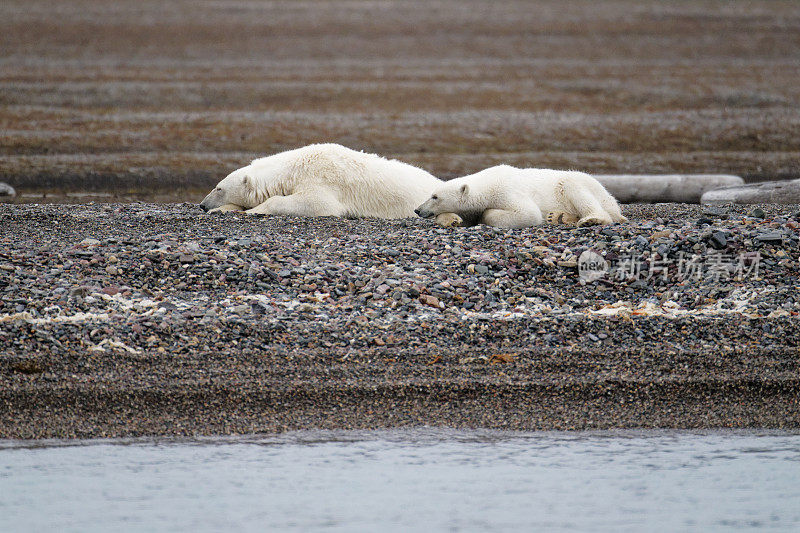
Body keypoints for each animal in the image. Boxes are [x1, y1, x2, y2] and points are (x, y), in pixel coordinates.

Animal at [199, 142, 454, 219]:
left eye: (218, 188)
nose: (202, 205)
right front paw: (222, 210)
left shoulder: (320, 179)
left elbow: (318, 204)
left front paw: (254, 210)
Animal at [416, 164, 628, 227]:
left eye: (435, 197)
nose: (418, 210)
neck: (489, 183)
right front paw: (452, 220)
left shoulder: (507, 191)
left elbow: (528, 213)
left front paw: (486, 215)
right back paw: (557, 217)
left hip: (580, 185)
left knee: (573, 187)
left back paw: (592, 219)